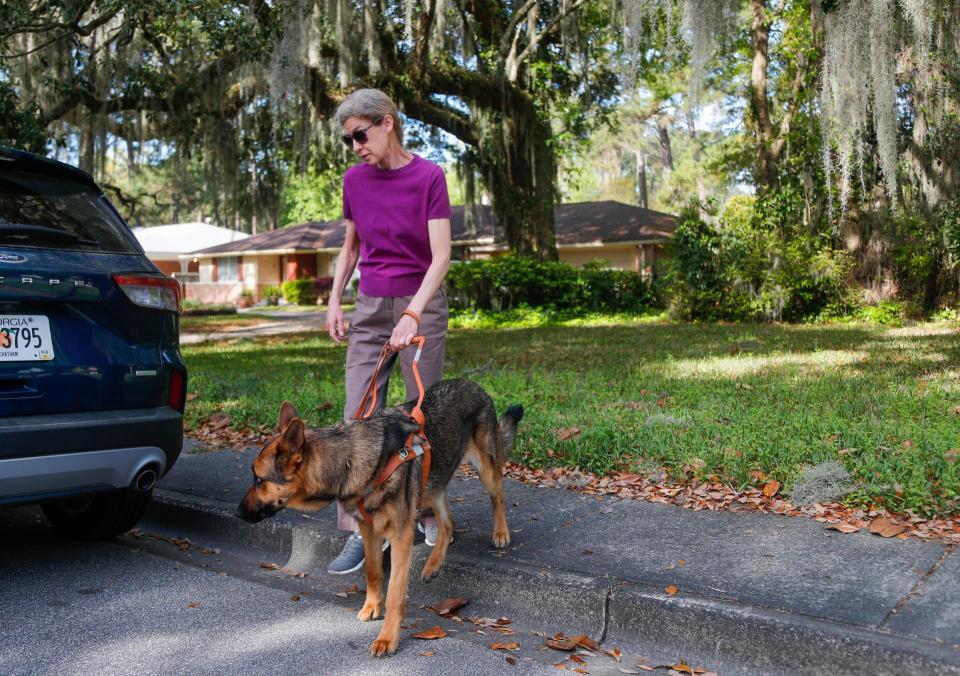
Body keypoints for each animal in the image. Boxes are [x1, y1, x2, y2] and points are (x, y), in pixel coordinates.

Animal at [238, 378, 524, 656]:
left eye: (258, 479)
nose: (238, 513)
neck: (348, 461)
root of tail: (474, 384)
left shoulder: (400, 536)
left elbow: (396, 592)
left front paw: (387, 638)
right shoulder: (369, 529)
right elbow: (373, 571)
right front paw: (372, 606)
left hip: (485, 470)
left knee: (498, 497)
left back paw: (501, 533)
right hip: (430, 486)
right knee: (447, 523)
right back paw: (433, 564)